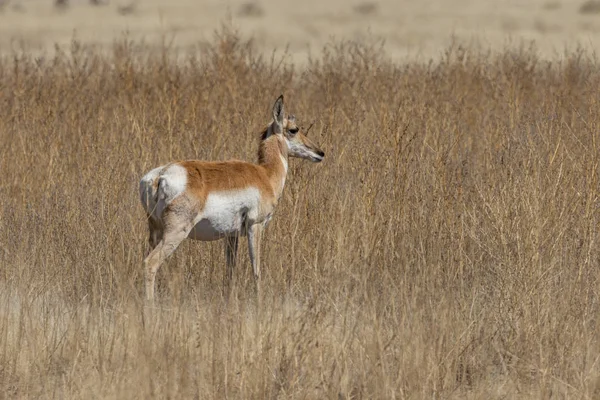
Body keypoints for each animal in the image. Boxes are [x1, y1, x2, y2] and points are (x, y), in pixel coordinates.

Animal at [139, 94, 326, 300]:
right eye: (293, 129)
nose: (320, 153)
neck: (265, 175)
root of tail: (160, 175)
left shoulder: (231, 236)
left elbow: (230, 272)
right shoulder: (255, 226)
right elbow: (256, 269)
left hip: (155, 231)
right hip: (176, 232)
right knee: (150, 263)